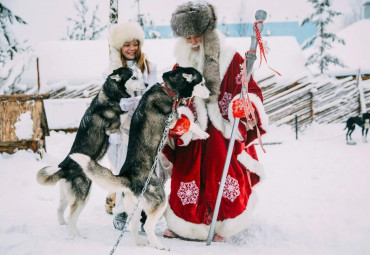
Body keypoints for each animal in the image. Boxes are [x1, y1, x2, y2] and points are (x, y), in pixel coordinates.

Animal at [35, 66, 146, 237]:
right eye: (133, 77)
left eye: (139, 75)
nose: (146, 84)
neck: (113, 95)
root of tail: (63, 167)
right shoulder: (113, 129)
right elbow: (126, 136)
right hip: (83, 195)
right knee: (71, 217)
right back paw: (77, 236)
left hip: (67, 196)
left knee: (60, 210)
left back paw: (63, 225)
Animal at [68, 66, 208, 249]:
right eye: (202, 83)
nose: (209, 93)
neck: (169, 89)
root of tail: (127, 177)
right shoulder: (172, 120)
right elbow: (188, 121)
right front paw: (203, 133)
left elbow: (185, 115)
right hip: (160, 200)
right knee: (148, 225)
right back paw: (159, 246)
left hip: (134, 208)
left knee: (133, 226)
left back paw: (140, 243)